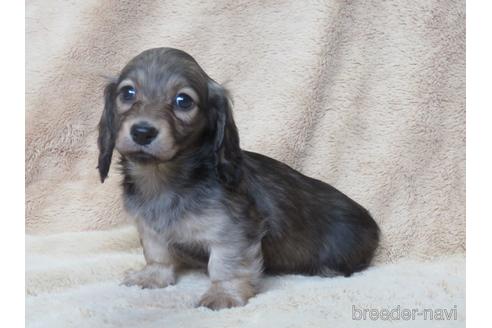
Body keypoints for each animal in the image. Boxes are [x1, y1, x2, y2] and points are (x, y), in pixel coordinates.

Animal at [96, 46, 380, 310]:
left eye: (183, 100)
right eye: (127, 93)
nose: (143, 131)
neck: (164, 180)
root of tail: (373, 223)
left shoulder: (233, 233)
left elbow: (224, 265)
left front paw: (223, 293)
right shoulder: (150, 229)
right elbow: (158, 255)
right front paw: (152, 277)